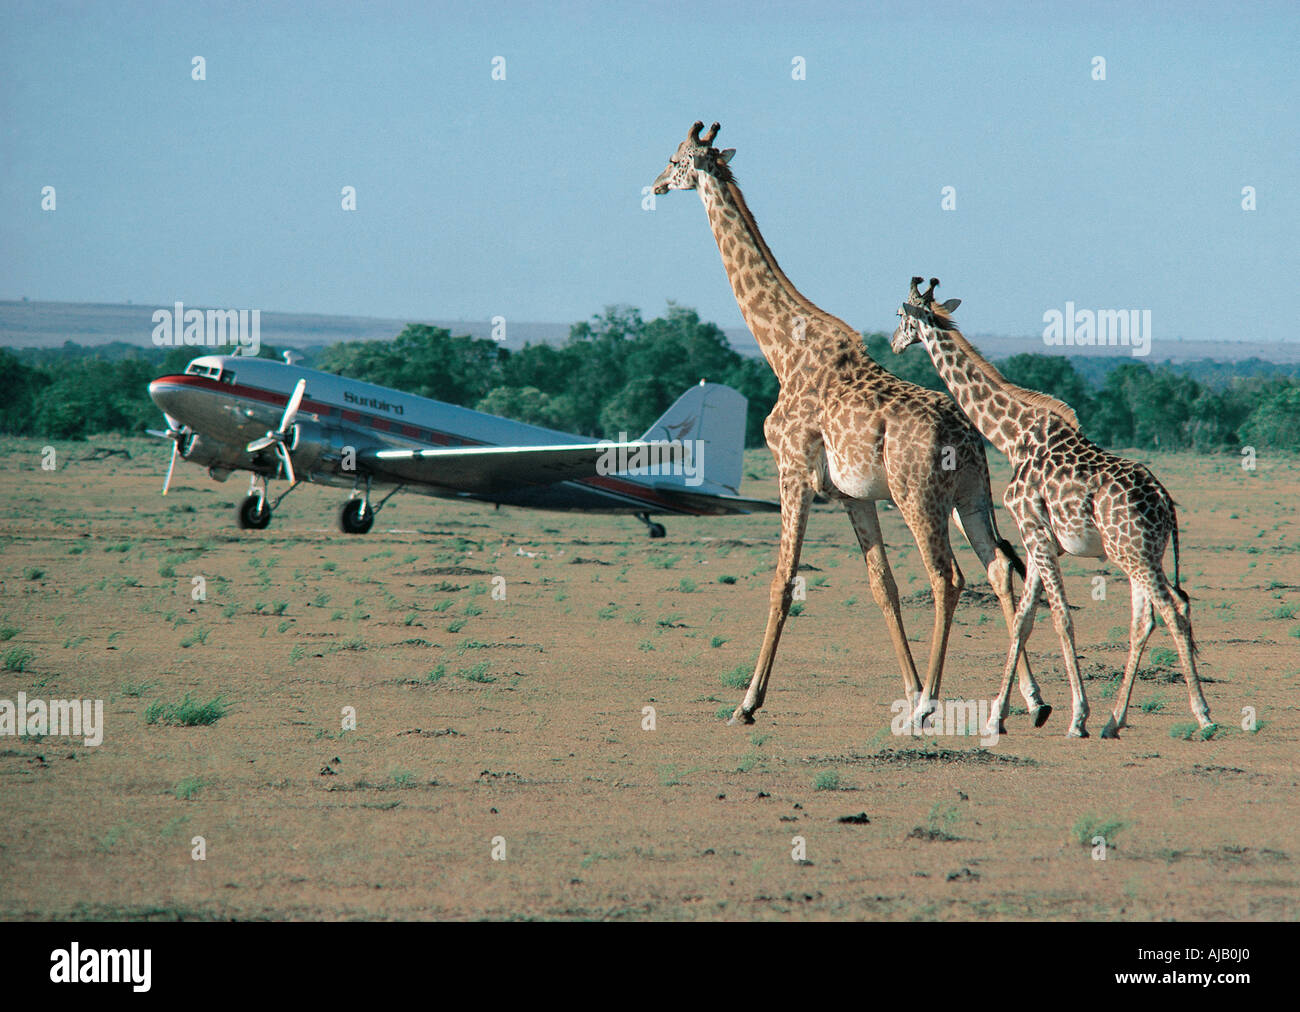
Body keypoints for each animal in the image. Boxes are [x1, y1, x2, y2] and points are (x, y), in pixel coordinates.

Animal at [650, 122, 1045, 728]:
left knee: (948, 577)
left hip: (918, 497)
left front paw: (747, 703)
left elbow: (782, 582)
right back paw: (1031, 700)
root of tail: (966, 438)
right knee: (1000, 569)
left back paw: (931, 706)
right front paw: (907, 687)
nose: (655, 184)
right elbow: (882, 586)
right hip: (971, 497)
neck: (782, 349)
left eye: (675, 159)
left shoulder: (791, 471)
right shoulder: (854, 496)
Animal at [889, 275, 1211, 733]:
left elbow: (1060, 618)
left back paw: (1202, 715)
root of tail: (1166, 502)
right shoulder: (1040, 540)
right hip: (1144, 554)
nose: (896, 343)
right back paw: (1115, 721)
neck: (1012, 437)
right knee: (1149, 617)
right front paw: (999, 716)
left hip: (1132, 554)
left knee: (1172, 610)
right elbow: (1024, 619)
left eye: (900, 314)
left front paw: (1076, 717)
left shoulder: (1035, 533)